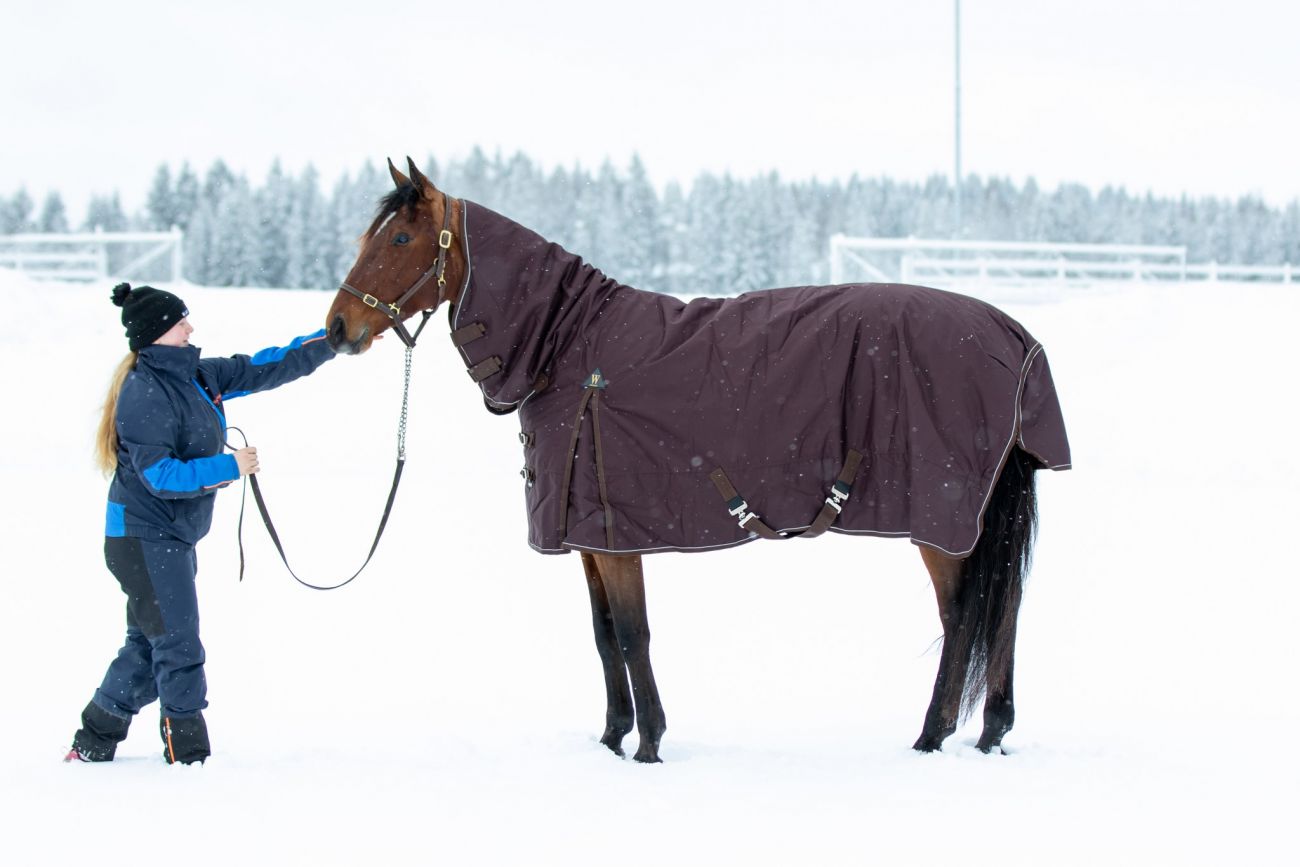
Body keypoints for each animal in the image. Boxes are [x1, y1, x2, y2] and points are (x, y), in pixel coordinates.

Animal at [324, 158, 1071, 763]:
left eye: (399, 239)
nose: (337, 329)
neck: (566, 346)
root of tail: (1017, 336)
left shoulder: (617, 538)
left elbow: (633, 635)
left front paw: (649, 744)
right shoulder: (588, 539)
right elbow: (603, 637)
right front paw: (611, 739)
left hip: (942, 523)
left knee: (964, 619)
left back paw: (931, 737)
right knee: (998, 612)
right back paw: (989, 733)